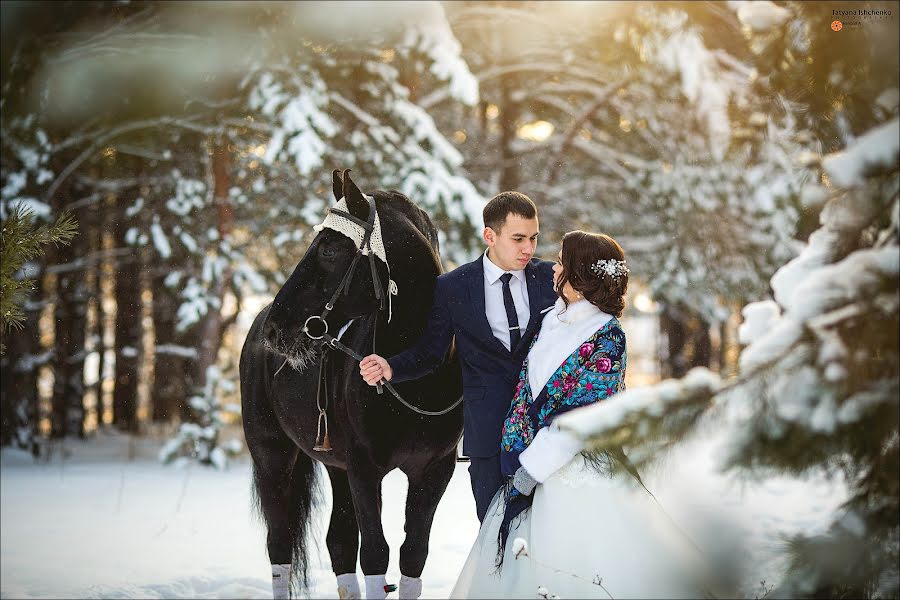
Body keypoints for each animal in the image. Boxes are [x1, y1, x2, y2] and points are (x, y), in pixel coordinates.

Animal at [239, 169, 464, 600]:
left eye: (328, 248)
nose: (277, 329)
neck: (414, 373)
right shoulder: (365, 469)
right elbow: (376, 553)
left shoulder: (434, 471)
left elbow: (413, 554)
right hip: (272, 456)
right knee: (280, 545)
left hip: (335, 467)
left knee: (339, 542)